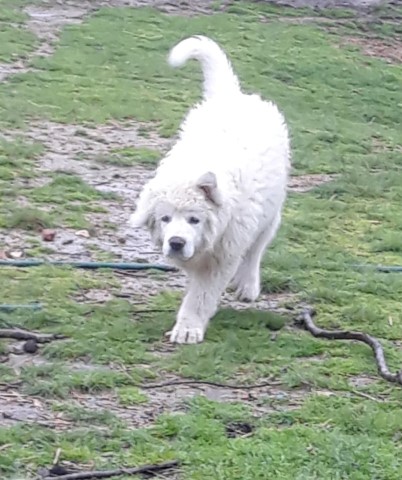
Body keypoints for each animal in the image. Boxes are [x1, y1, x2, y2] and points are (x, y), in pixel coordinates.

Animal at [130, 36, 290, 344]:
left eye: (195, 219)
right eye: (165, 219)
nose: (176, 243)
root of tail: (233, 96)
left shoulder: (224, 252)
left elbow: (201, 295)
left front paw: (188, 328)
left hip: (269, 212)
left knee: (257, 247)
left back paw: (248, 284)